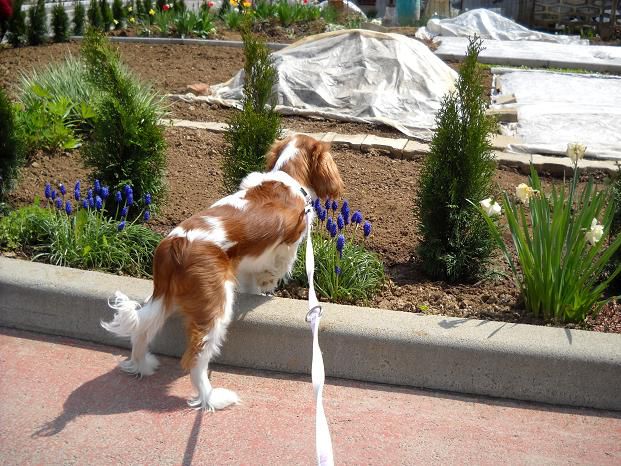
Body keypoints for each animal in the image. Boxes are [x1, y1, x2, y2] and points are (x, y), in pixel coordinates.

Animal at [101, 135, 344, 412]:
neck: (286, 175)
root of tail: (176, 244)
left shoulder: (247, 261)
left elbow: (251, 281)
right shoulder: (287, 246)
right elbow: (277, 268)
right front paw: (268, 285)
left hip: (164, 297)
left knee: (142, 330)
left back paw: (142, 365)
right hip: (214, 306)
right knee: (195, 358)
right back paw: (211, 398)